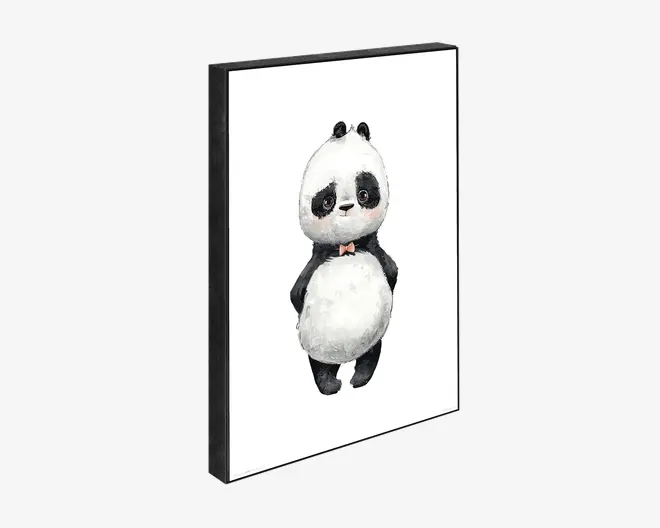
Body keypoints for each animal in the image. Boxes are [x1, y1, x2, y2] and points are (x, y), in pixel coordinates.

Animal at [290, 121, 398, 395]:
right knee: (320, 365)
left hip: (375, 333)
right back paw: (330, 384)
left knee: (372, 352)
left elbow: (392, 272)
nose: (347, 207)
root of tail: (347, 357)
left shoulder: (376, 252)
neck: (347, 247)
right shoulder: (315, 264)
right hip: (318, 345)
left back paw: (360, 377)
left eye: (364, 194)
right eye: (328, 200)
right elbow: (296, 295)